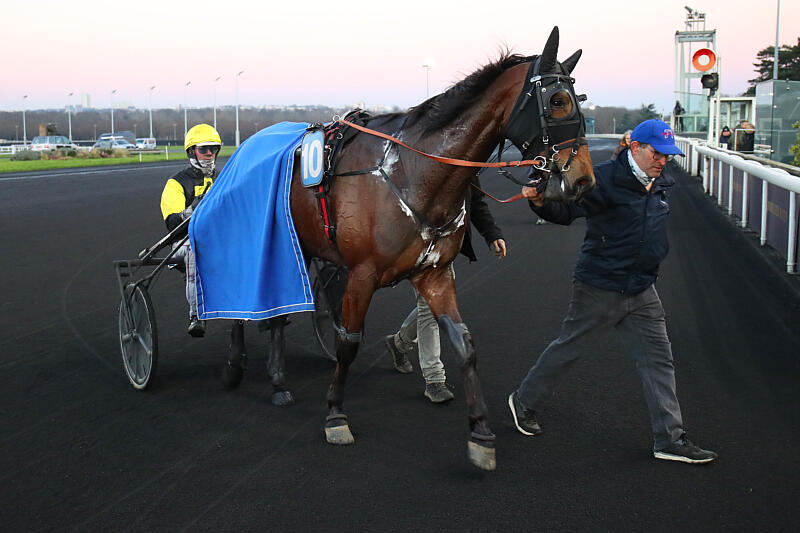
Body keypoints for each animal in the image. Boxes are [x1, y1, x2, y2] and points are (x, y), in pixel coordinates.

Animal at [225, 26, 595, 470]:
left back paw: (278, 380)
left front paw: (481, 433)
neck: (412, 173)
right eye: (557, 101)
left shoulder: (433, 272)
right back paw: (240, 366)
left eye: (579, 100)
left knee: (277, 315)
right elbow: (348, 343)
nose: (583, 180)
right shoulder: (362, 274)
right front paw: (335, 415)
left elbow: (464, 344)